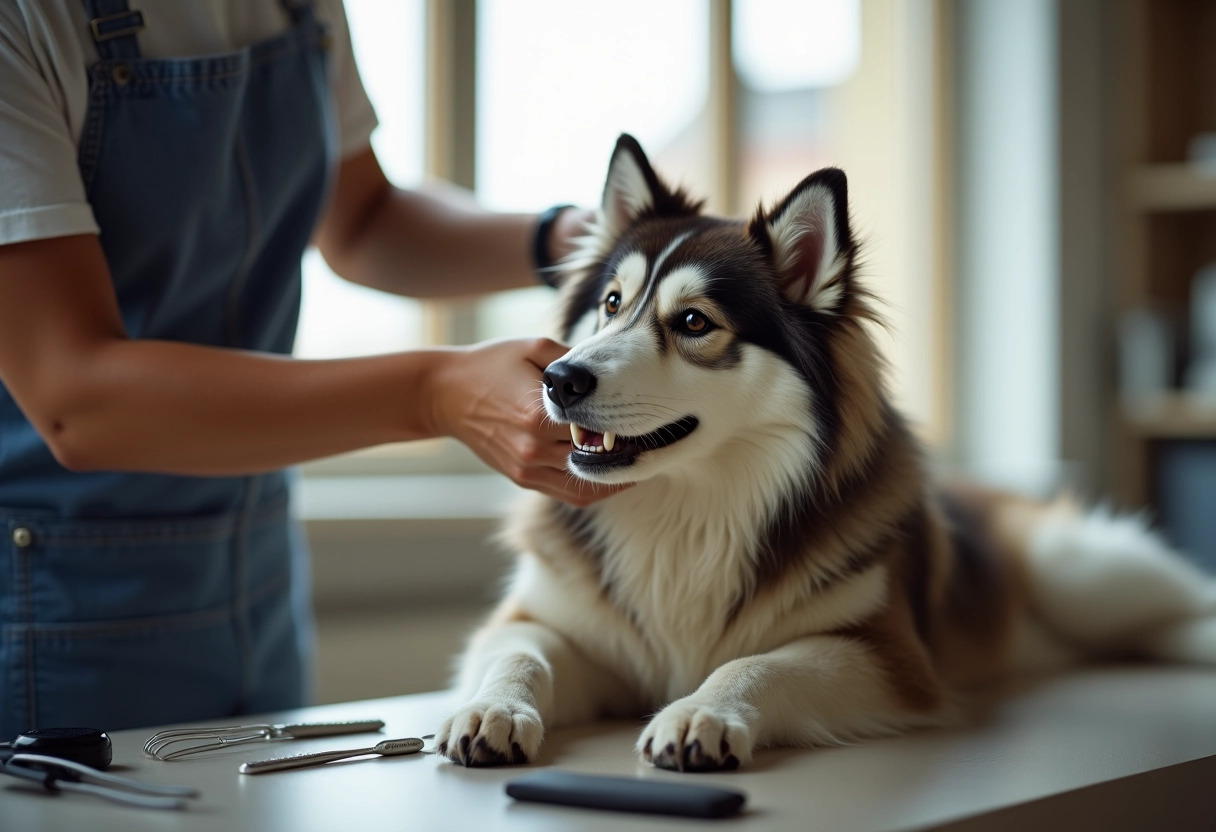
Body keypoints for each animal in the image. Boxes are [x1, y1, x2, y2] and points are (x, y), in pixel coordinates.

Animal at [432, 133, 1216, 768]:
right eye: (612, 304)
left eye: (693, 323)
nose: (558, 379)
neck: (691, 509)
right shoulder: (542, 621)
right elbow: (519, 655)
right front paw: (492, 707)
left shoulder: (890, 657)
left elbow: (761, 664)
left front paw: (701, 710)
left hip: (1081, 571)